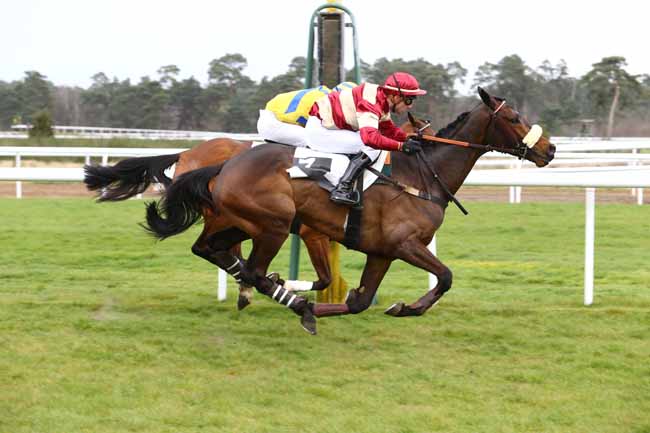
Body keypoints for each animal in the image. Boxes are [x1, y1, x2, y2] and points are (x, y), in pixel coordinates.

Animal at [140, 86, 552, 332]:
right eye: (513, 118)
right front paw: (405, 306)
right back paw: (284, 298)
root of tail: (222, 164)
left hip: (241, 222)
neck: (422, 176)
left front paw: (381, 306)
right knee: (252, 270)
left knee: (209, 249)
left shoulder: (382, 251)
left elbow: (360, 302)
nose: (549, 149)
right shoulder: (404, 244)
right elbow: (446, 277)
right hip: (274, 224)